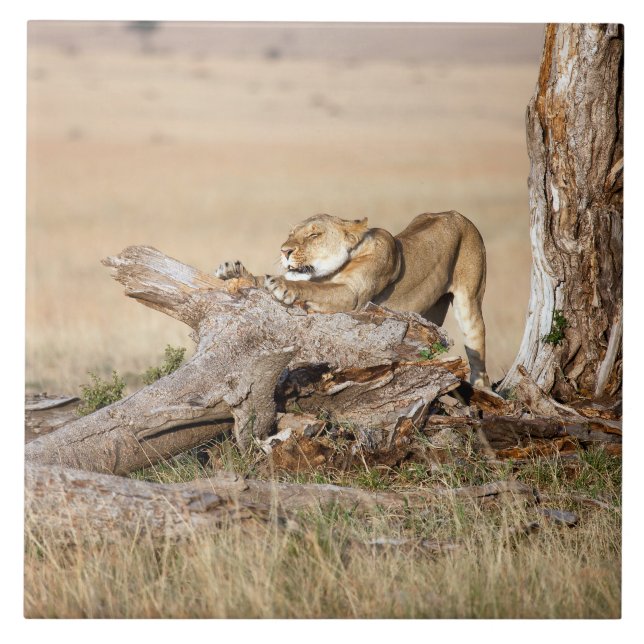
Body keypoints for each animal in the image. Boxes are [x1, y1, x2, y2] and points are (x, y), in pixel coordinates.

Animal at [216, 211, 490, 387]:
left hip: (470, 302)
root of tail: (455, 213)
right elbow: (262, 279)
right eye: (291, 234)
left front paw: (283, 286)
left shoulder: (352, 295)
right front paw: (234, 271)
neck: (330, 273)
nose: (284, 251)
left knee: (477, 353)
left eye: (314, 235)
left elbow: (311, 288)